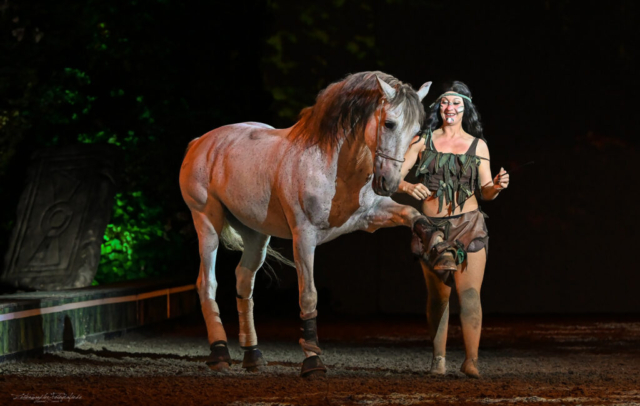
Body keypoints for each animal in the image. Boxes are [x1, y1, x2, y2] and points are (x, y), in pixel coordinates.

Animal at [178, 70, 432, 378]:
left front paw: (431, 240)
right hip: (207, 221)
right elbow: (308, 295)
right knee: (207, 283)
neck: (333, 167)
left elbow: (413, 215)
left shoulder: (371, 216)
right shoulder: (304, 237)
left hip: (256, 234)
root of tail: (200, 141)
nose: (389, 183)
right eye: (389, 123)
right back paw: (219, 353)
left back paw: (253, 355)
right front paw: (313, 360)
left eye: (416, 131)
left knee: (244, 282)